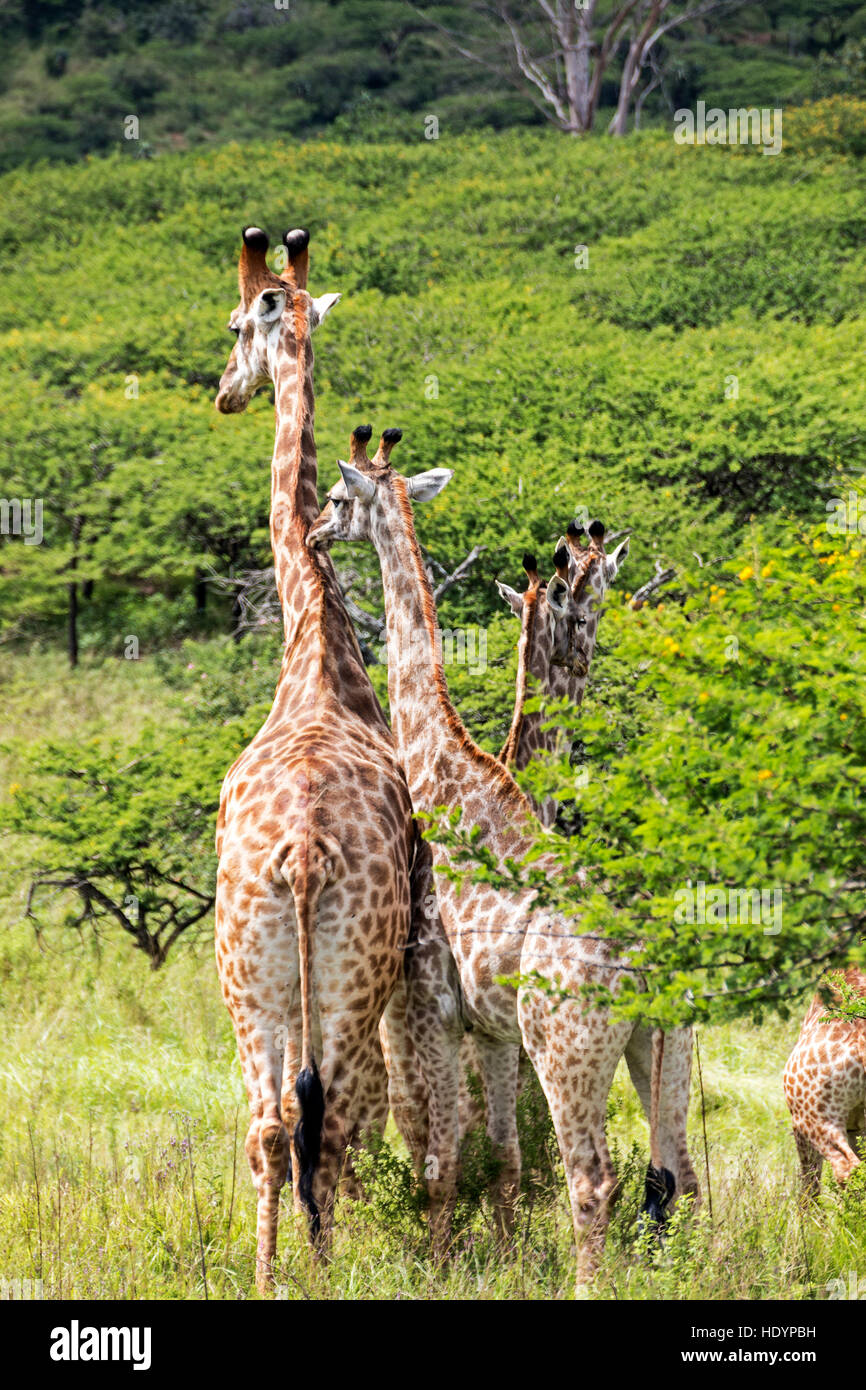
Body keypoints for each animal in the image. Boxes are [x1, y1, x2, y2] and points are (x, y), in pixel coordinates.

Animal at [308, 429, 693, 1284]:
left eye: (339, 499)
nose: (312, 533)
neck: (449, 779)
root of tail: (647, 961)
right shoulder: (489, 1030)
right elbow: (504, 1161)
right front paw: (505, 1264)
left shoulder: (436, 1007)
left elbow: (445, 1162)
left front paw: (439, 1268)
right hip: (664, 1042)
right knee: (675, 1173)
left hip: (567, 1046)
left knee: (595, 1179)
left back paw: (588, 1287)